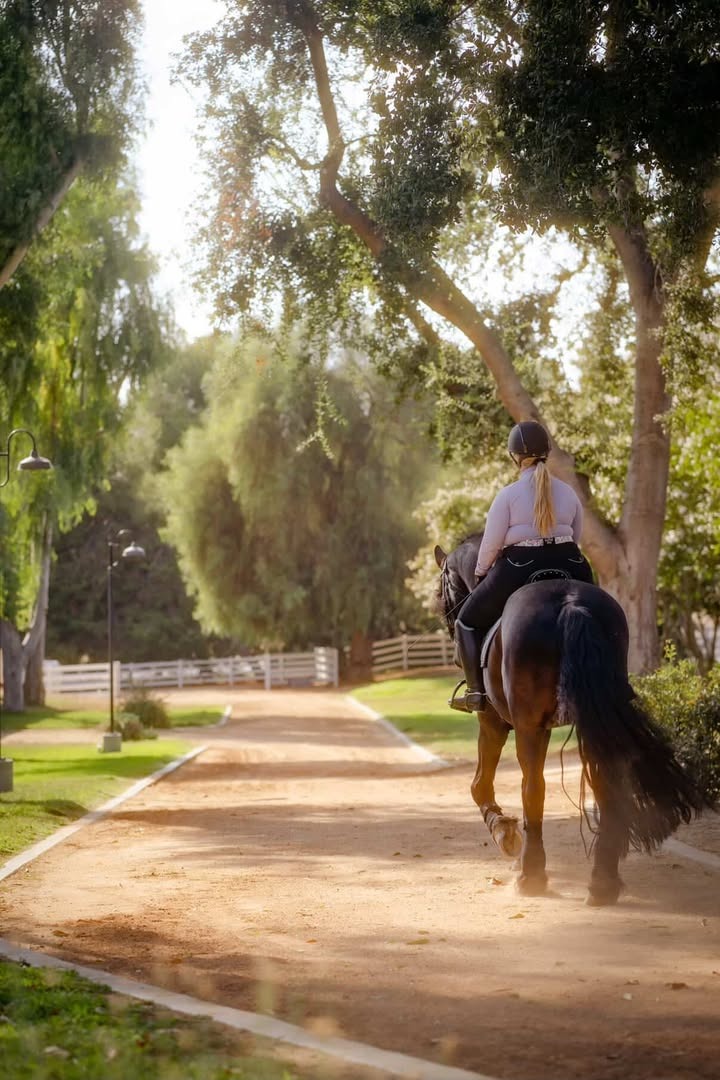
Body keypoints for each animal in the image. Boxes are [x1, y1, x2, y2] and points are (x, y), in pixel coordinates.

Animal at [435, 533, 706, 905]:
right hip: (596, 715)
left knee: (533, 788)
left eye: (442, 587)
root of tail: (570, 604)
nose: (447, 629)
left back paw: (532, 875)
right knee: (606, 781)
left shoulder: (494, 723)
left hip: (528, 726)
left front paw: (504, 831)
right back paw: (603, 881)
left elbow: (479, 785)